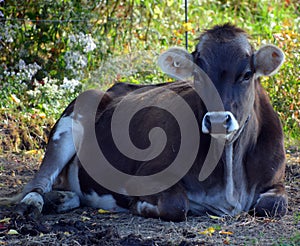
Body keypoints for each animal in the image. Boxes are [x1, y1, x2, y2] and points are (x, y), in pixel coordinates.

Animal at [2, 24, 288, 222]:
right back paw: (34, 205)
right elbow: (177, 205)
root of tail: (116, 86)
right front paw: (140, 205)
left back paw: (60, 199)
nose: (218, 120)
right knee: (36, 185)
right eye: (197, 75)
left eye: (247, 74)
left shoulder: (276, 180)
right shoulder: (144, 177)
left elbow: (272, 206)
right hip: (69, 122)